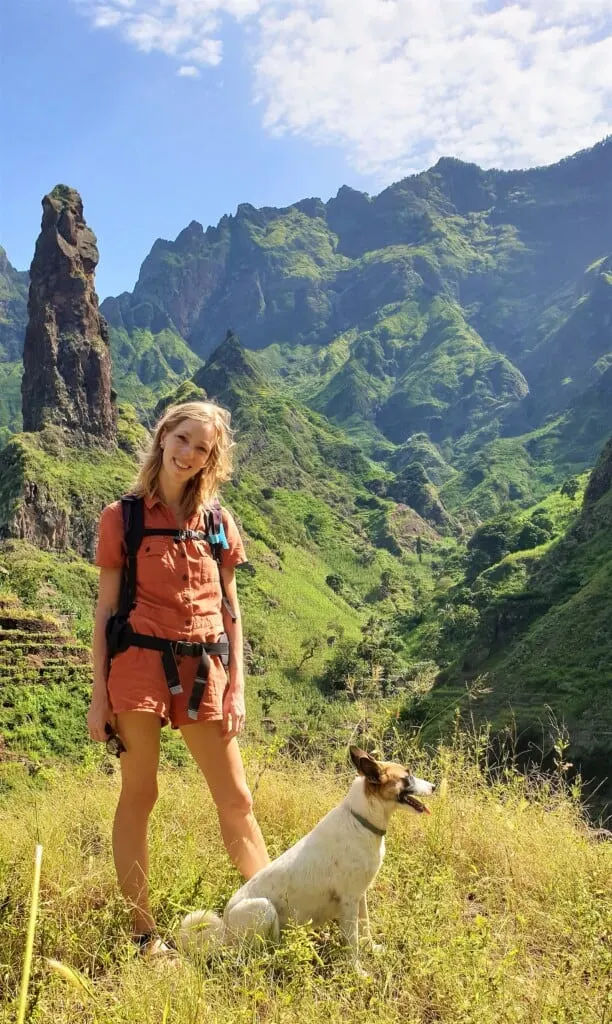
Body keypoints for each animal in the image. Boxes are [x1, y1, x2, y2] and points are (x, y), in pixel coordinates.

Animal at [177, 749, 435, 970]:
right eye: (407, 776)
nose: (434, 786)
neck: (360, 820)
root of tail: (225, 931)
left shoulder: (360, 896)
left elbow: (366, 928)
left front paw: (373, 949)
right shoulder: (349, 901)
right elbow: (353, 942)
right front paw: (357, 972)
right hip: (264, 908)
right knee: (253, 952)